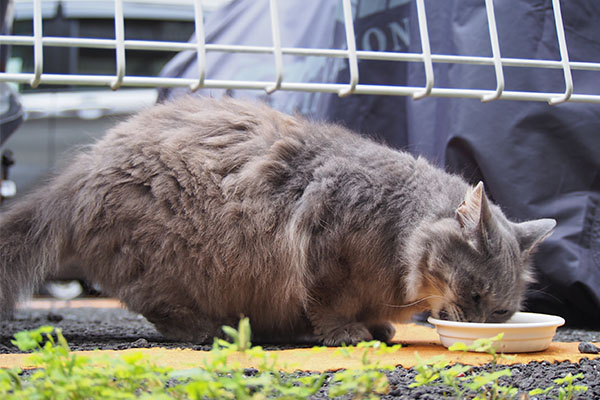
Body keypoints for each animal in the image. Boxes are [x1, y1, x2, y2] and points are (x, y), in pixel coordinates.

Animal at [0, 97, 556, 346]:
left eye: (501, 312)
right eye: (475, 296)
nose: (482, 330)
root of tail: (79, 173)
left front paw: (378, 327)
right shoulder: (325, 254)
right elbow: (330, 306)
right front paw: (347, 333)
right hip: (167, 261)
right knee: (153, 305)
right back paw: (214, 329)